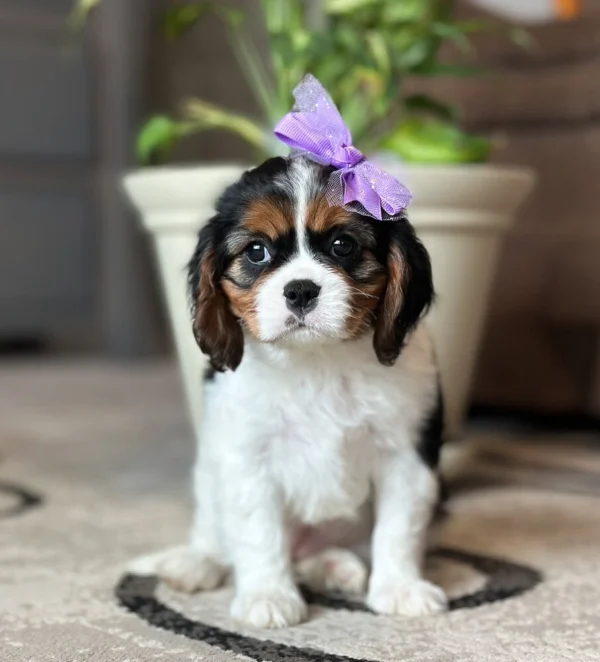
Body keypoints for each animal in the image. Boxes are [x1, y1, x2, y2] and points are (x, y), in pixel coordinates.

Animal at [132, 154, 450, 628]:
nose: (300, 290)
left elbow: (399, 529)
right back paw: (196, 564)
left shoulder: (406, 458)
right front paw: (269, 596)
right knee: (215, 537)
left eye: (342, 245)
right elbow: (259, 532)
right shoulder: (248, 458)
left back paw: (335, 566)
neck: (317, 361)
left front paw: (400, 588)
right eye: (256, 251)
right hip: (208, 478)